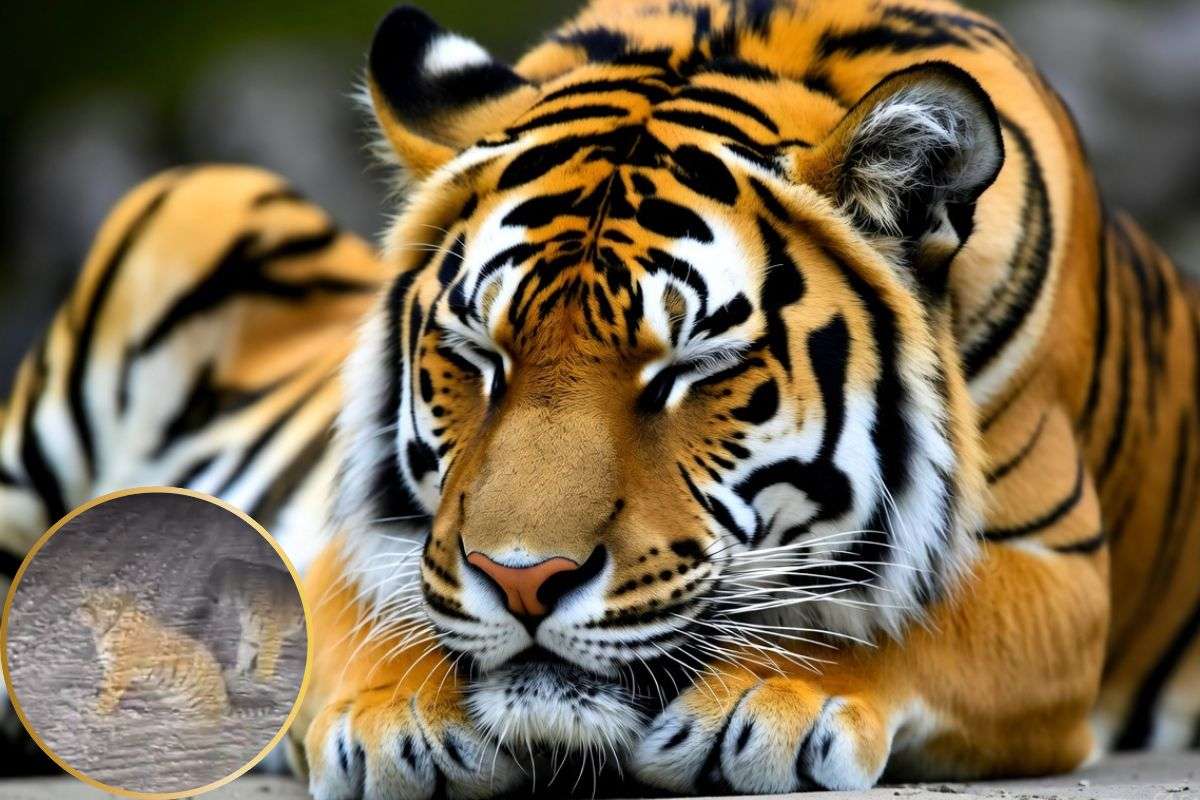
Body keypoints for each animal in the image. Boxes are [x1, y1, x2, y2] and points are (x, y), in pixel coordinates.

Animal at [76, 587, 229, 719]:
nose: (80, 609)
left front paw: (98, 712)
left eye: (97, 601)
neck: (105, 629)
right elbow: (105, 687)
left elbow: (108, 695)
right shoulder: (110, 668)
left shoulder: (120, 671)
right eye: (84, 599)